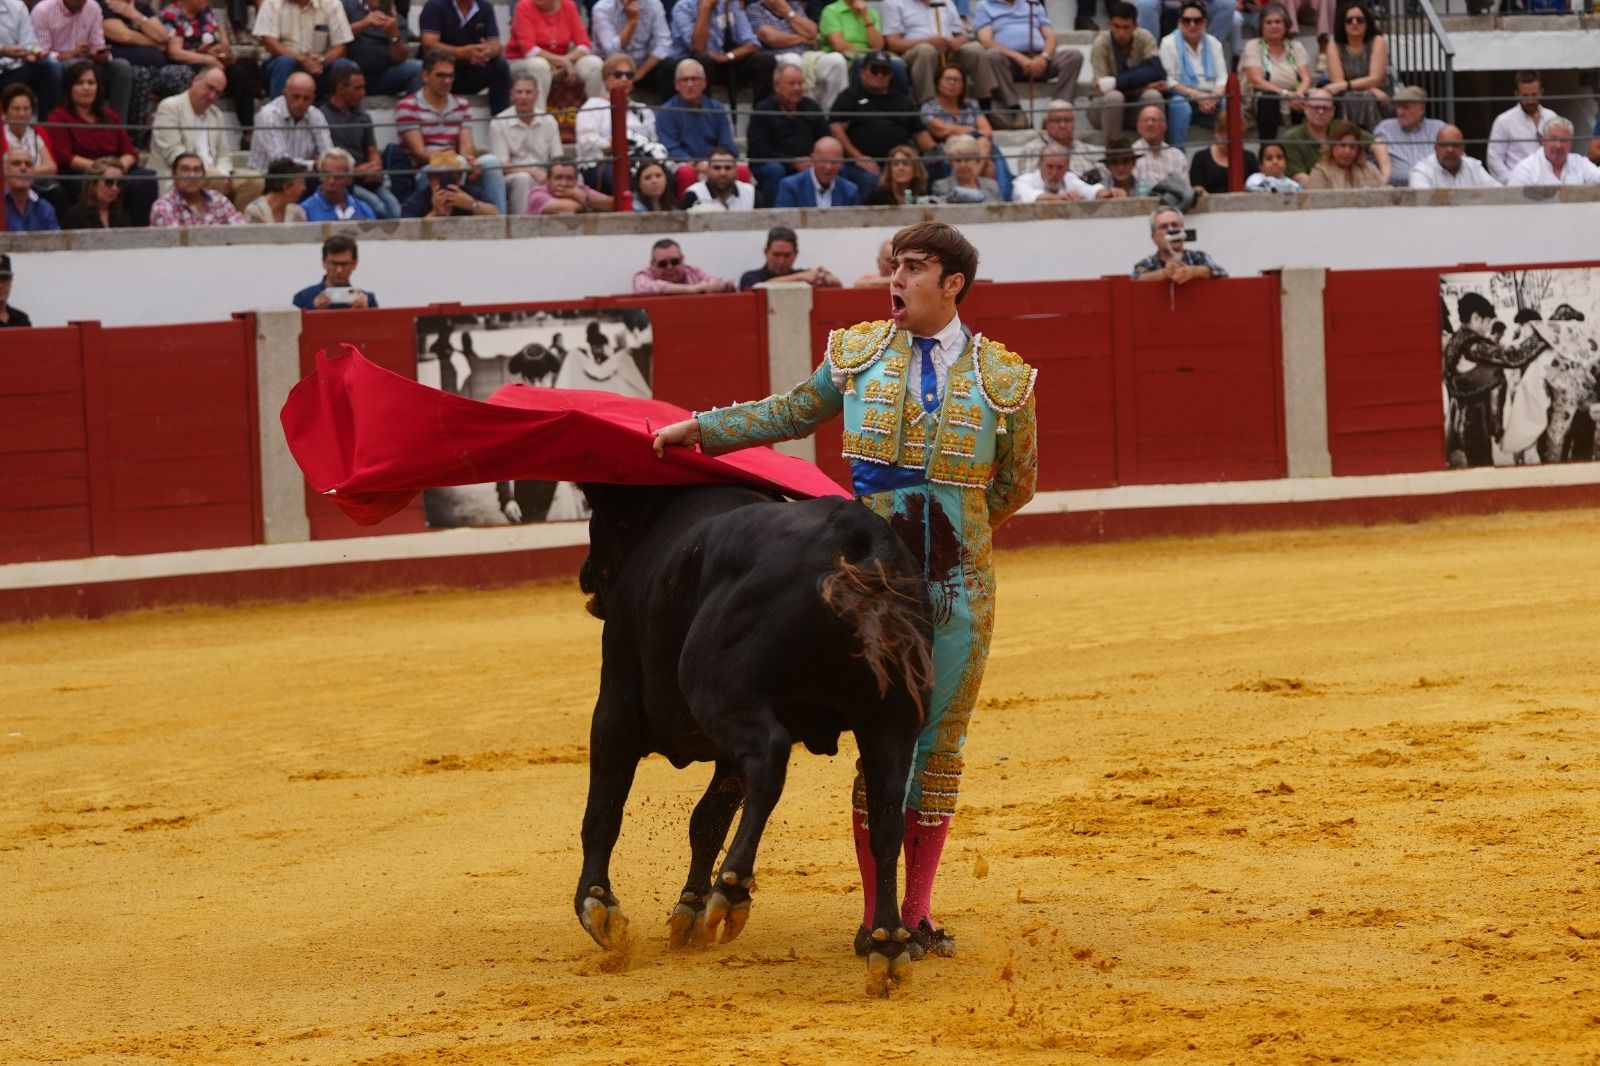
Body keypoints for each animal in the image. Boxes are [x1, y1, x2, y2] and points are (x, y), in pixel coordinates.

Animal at [572, 483, 934, 985]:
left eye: (599, 517)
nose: (585, 575)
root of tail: (859, 536)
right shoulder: (726, 756)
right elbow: (707, 819)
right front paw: (689, 911)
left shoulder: (615, 704)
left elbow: (605, 808)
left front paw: (599, 905)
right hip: (891, 721)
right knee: (885, 818)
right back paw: (887, 942)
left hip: (720, 691)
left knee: (770, 757)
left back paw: (733, 887)